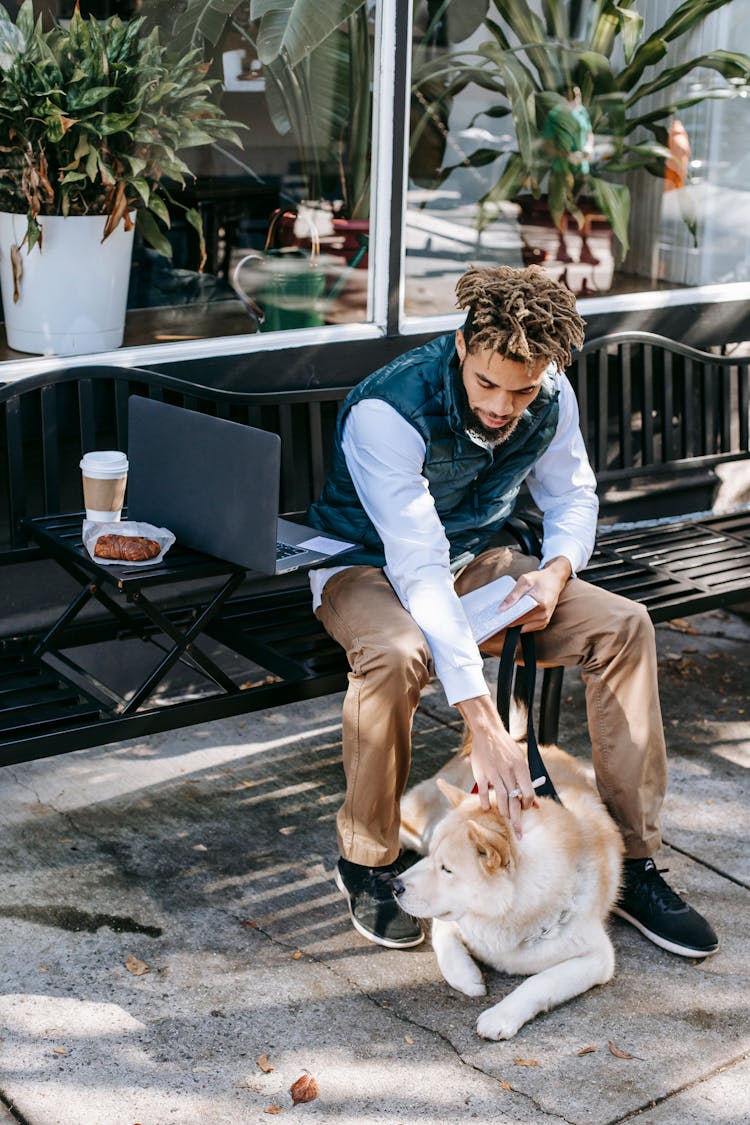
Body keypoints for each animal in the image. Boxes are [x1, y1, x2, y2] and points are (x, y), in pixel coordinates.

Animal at [395, 742, 625, 1039]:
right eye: (431, 857)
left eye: (446, 869)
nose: (395, 886)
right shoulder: (455, 918)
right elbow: (444, 940)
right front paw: (467, 977)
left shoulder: (598, 957)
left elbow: (541, 981)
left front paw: (501, 1016)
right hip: (417, 828)